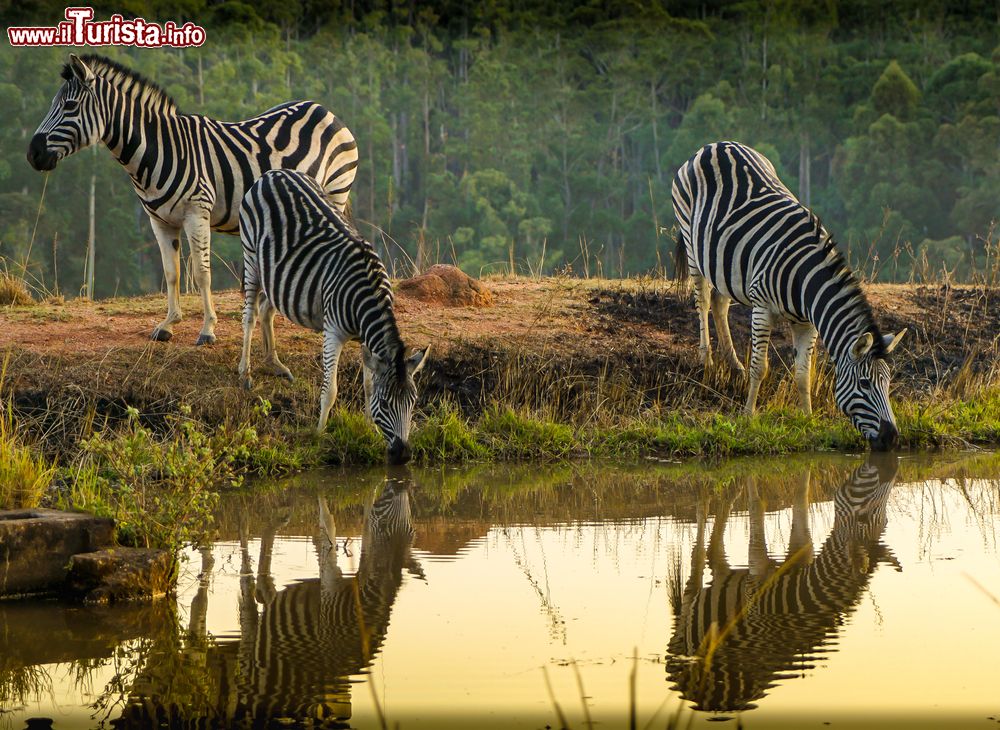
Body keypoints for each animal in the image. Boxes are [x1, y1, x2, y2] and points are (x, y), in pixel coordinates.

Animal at [24, 53, 364, 344]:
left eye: (69, 106)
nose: (32, 154)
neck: (155, 151)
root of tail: (324, 110)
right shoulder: (159, 221)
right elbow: (171, 273)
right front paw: (167, 324)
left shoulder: (196, 214)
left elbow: (201, 274)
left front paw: (207, 330)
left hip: (334, 192)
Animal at [241, 168, 430, 458]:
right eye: (386, 404)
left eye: (413, 402)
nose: (403, 455)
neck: (366, 297)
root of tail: (274, 173)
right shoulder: (333, 333)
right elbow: (330, 390)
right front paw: (319, 433)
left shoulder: (367, 340)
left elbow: (368, 385)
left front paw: (369, 428)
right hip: (250, 254)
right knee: (249, 315)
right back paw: (245, 373)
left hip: (277, 274)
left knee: (266, 309)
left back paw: (275, 364)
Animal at [668, 456, 904, 712]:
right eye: (862, 517)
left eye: (886, 520)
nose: (890, 469)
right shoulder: (756, 577)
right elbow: (756, 504)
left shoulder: (803, 551)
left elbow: (801, 498)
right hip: (689, 617)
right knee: (698, 559)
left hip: (723, 586)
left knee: (715, 553)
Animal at [672, 141, 908, 450]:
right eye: (865, 384)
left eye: (888, 382)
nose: (891, 438)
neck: (805, 281)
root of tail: (716, 144)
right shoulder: (762, 308)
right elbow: (760, 367)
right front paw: (749, 416)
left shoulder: (807, 322)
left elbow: (803, 373)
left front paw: (807, 418)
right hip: (691, 243)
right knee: (701, 299)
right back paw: (707, 359)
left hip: (724, 264)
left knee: (720, 302)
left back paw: (733, 363)